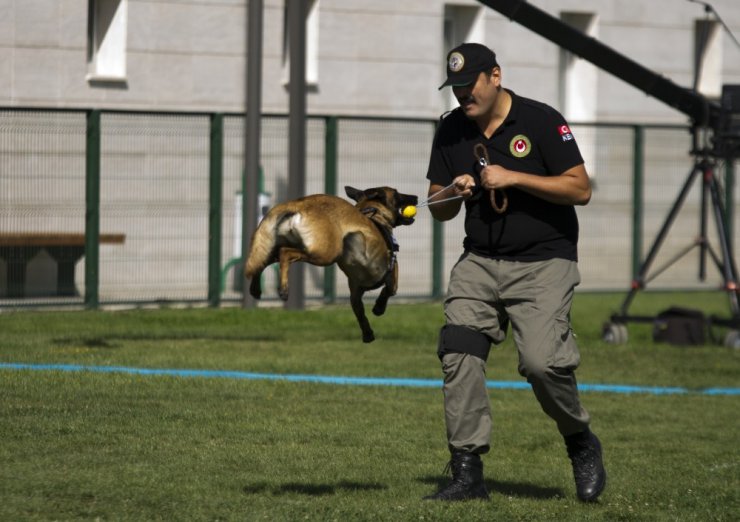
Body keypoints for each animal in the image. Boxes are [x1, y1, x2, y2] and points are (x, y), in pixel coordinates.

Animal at [243, 186, 416, 342]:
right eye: (397, 194)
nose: (416, 197)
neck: (374, 214)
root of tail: (296, 204)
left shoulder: (355, 295)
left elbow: (361, 315)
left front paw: (367, 334)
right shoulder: (391, 276)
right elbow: (387, 292)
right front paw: (378, 309)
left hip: (279, 245)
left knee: (264, 260)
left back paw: (255, 289)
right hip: (326, 253)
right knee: (285, 253)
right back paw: (283, 289)